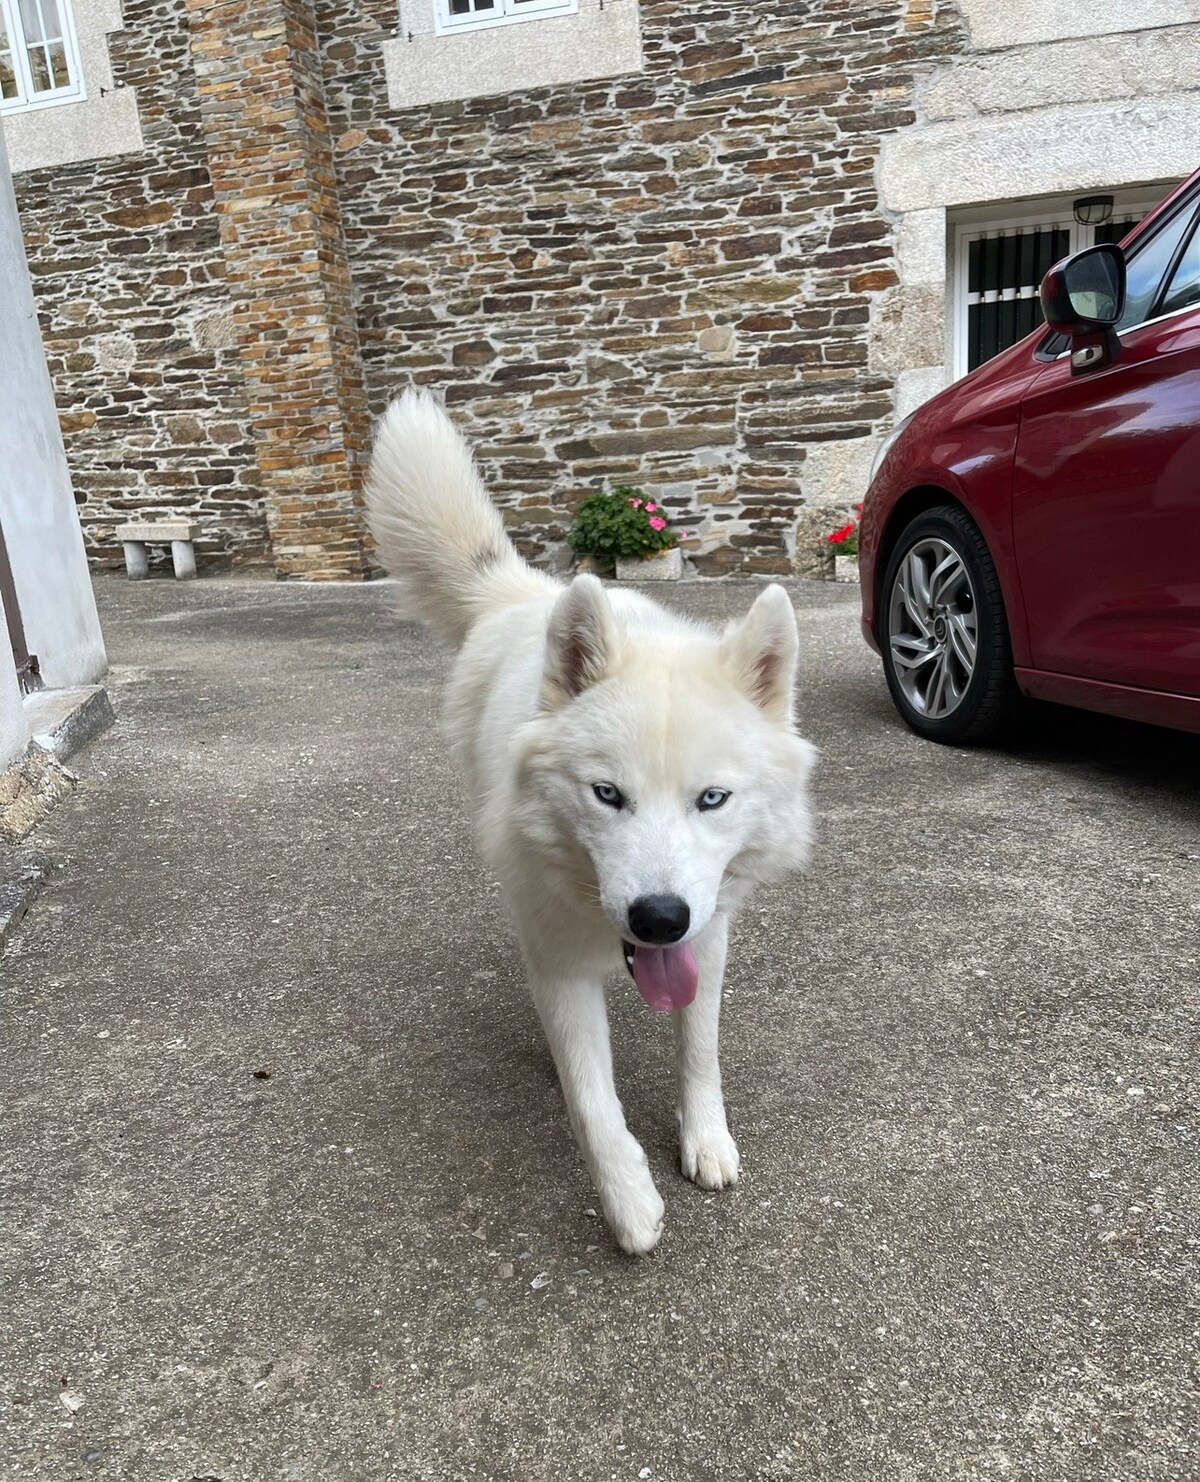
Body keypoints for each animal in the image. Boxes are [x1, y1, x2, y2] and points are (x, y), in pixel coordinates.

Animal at [364, 391, 811, 1250]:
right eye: (608, 794)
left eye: (713, 799)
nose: (659, 918)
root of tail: (523, 593)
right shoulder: (564, 964)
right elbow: (592, 1103)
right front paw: (629, 1202)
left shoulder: (710, 937)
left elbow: (699, 1050)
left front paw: (705, 1138)